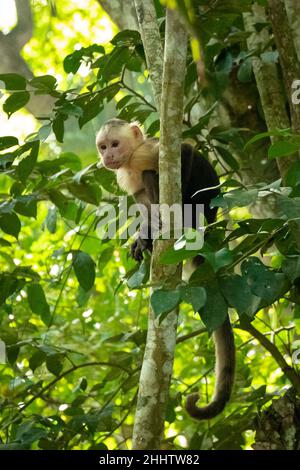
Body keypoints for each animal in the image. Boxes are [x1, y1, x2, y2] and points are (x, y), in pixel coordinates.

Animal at [97, 118, 236, 422]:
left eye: (115, 144)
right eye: (103, 146)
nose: (108, 156)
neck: (129, 161)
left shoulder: (143, 153)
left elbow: (184, 151)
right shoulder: (124, 176)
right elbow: (139, 199)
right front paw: (143, 235)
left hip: (206, 203)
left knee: (157, 174)